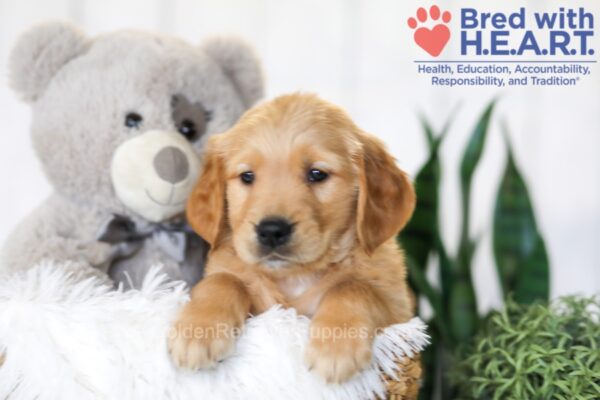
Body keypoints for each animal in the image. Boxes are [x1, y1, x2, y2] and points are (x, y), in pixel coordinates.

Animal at [166, 92, 414, 382]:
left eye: (317, 174)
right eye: (247, 176)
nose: (271, 230)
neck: (294, 276)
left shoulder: (400, 309)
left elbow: (353, 287)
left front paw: (336, 346)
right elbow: (222, 281)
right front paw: (197, 330)